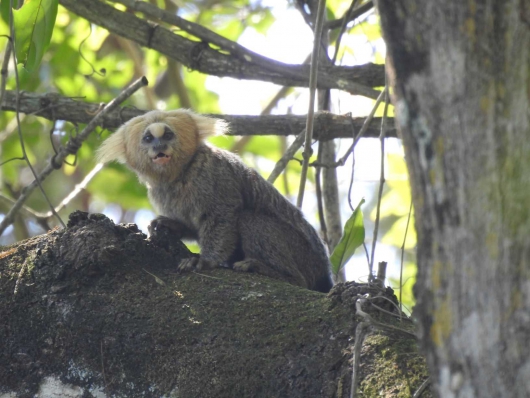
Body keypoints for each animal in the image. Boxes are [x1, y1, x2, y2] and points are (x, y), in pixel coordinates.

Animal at [97, 109, 332, 292]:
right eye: (148, 139)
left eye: (167, 135)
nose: (159, 146)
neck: (181, 175)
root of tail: (324, 274)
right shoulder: (158, 192)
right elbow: (191, 226)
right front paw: (168, 225)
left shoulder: (213, 174)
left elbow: (222, 217)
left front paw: (205, 261)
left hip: (305, 256)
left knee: (250, 219)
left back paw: (274, 272)